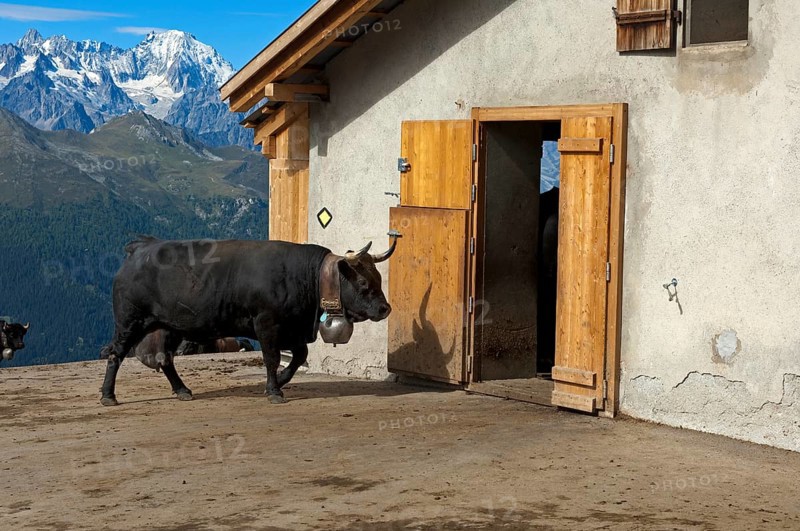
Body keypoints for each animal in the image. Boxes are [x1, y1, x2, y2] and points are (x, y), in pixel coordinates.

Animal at [100, 236, 396, 406]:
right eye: (362, 282)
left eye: (379, 277)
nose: (385, 308)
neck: (305, 277)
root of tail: (139, 248)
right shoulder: (267, 324)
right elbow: (272, 358)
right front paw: (274, 390)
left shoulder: (292, 329)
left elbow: (299, 356)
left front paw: (281, 380)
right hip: (129, 322)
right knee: (116, 354)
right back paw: (108, 395)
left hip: (171, 326)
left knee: (165, 359)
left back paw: (182, 389)